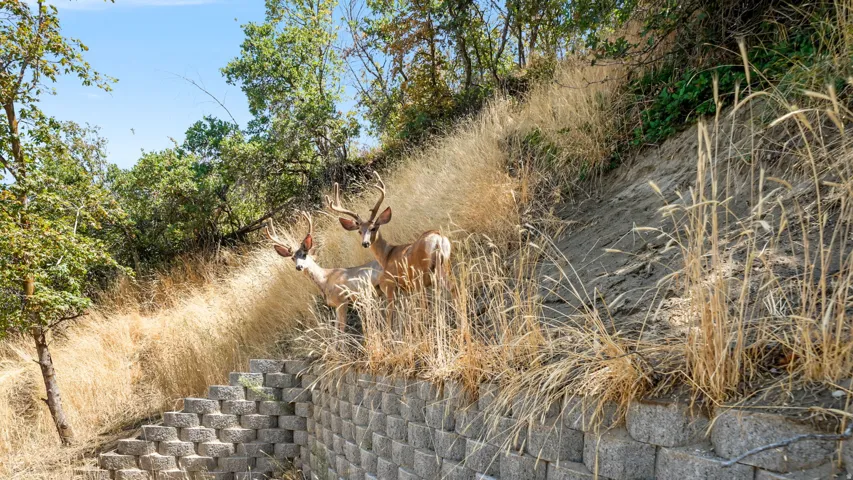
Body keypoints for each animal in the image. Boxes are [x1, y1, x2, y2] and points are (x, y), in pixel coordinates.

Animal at [325, 172, 454, 323]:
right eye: (359, 231)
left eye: (373, 228)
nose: (365, 243)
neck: (386, 255)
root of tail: (438, 238)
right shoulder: (405, 289)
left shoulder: (390, 286)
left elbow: (389, 316)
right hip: (444, 267)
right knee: (454, 290)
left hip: (420, 277)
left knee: (426, 305)